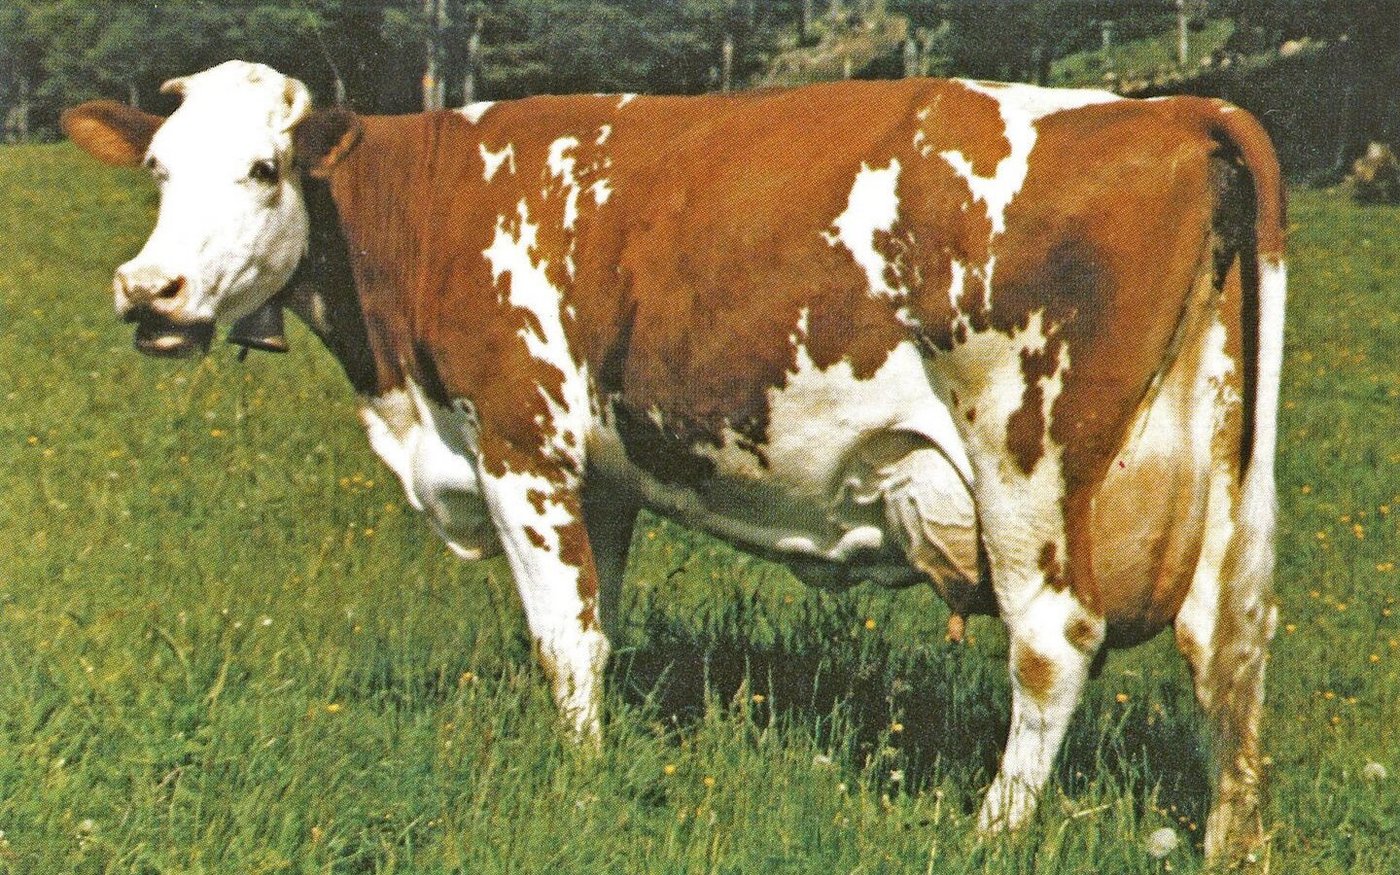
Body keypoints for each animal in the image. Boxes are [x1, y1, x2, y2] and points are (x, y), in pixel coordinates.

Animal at [63, 60, 1285, 864]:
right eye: (159, 168)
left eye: (264, 169)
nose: (149, 290)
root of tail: (1172, 108)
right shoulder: (597, 478)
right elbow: (592, 635)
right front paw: (587, 766)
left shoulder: (520, 443)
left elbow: (561, 639)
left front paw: (575, 791)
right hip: (1212, 458)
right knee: (1225, 644)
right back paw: (1227, 842)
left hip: (1025, 458)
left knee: (1052, 642)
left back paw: (990, 829)